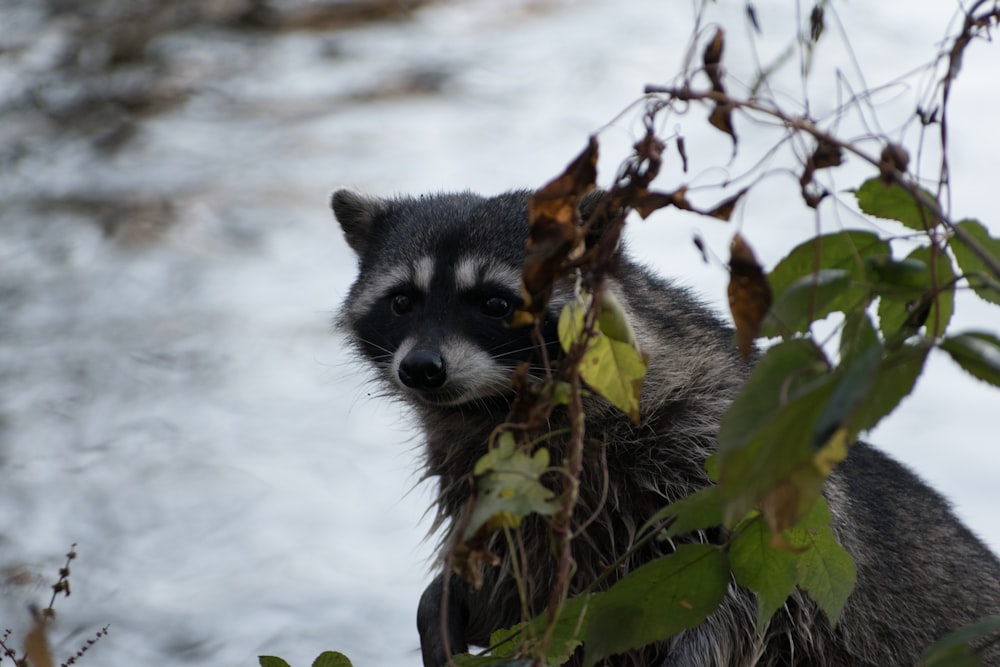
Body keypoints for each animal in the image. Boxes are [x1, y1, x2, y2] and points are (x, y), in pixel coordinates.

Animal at [330, 189, 1000, 667]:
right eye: (402, 301)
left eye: (495, 303)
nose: (421, 368)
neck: (500, 410)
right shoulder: (497, 484)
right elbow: (515, 578)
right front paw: (448, 598)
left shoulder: (712, 443)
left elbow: (742, 604)